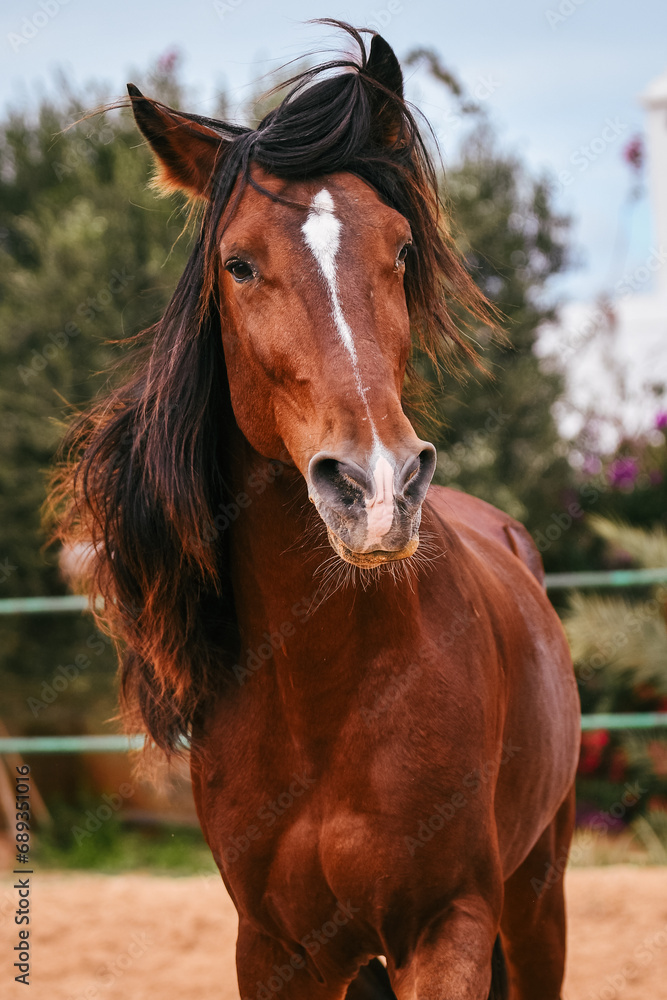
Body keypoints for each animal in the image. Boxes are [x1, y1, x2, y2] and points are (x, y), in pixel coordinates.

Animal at [52, 22, 580, 1000]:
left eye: (401, 250)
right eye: (238, 264)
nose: (376, 490)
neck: (325, 694)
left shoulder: (446, 927)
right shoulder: (275, 951)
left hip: (537, 899)